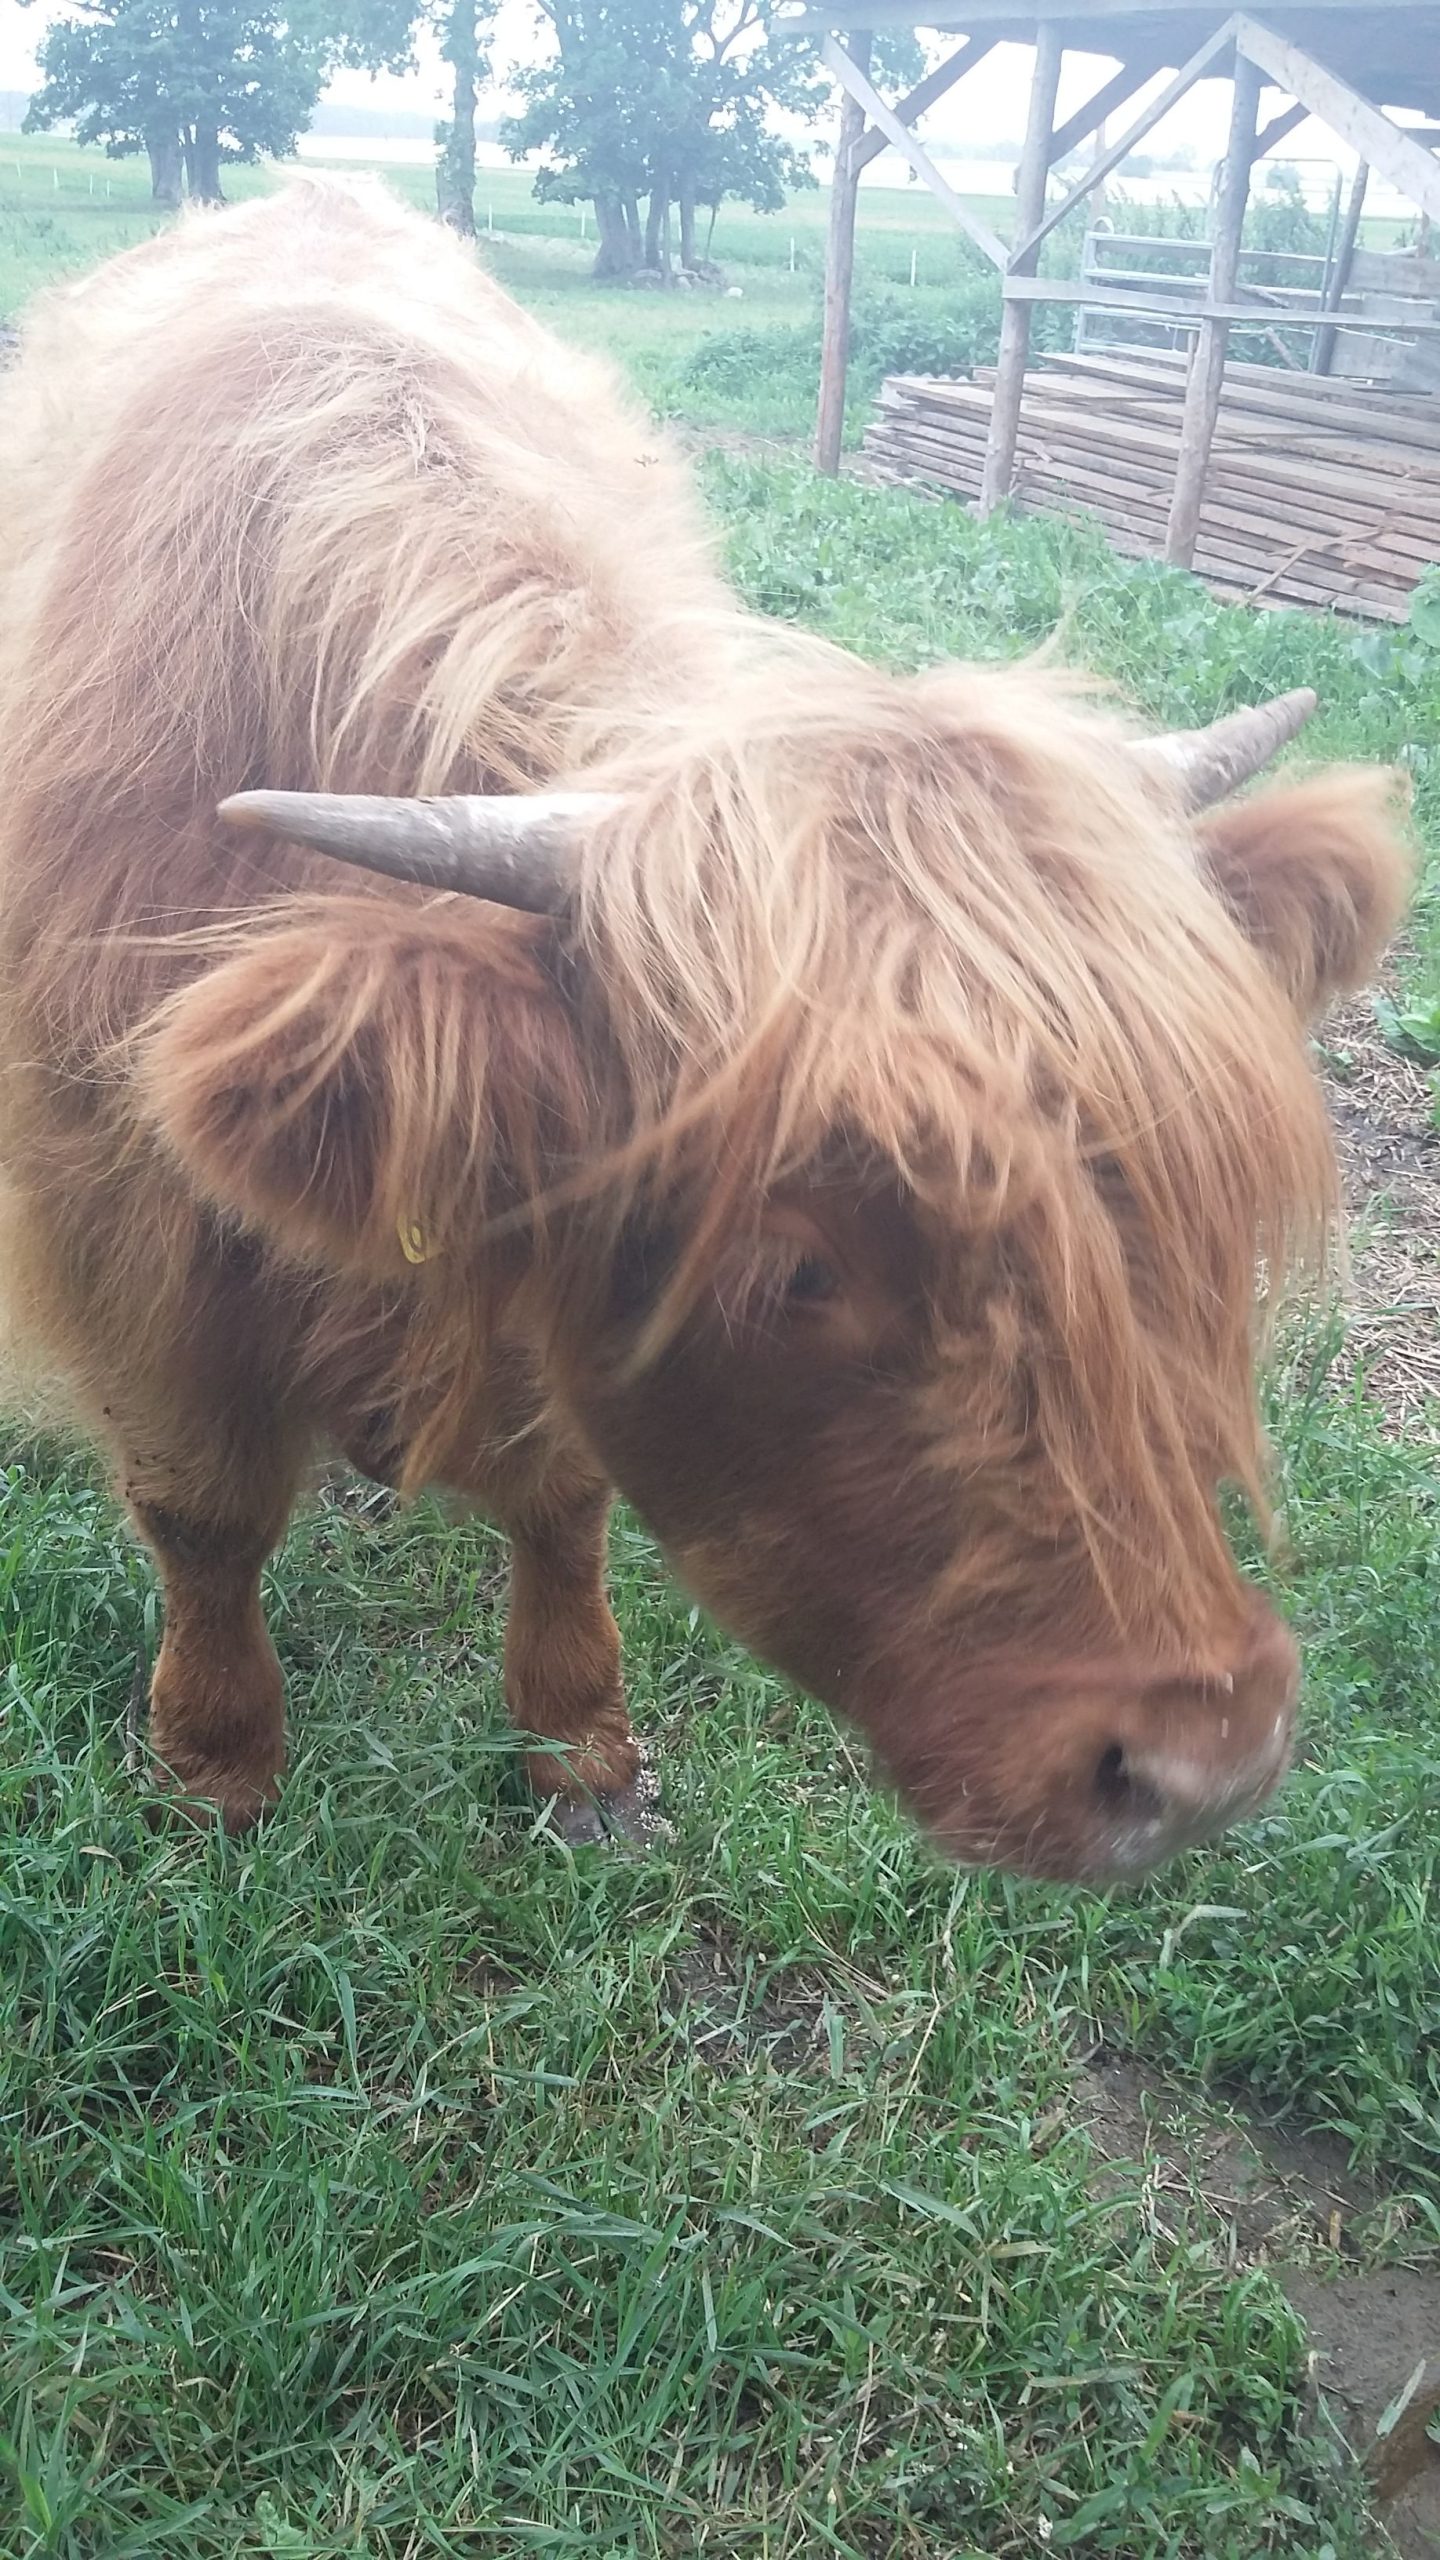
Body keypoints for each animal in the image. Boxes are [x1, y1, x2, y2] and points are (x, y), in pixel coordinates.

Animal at [0, 179, 1410, 1881]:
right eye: (794, 1264)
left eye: (1184, 1204)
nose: (1208, 1763)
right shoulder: (119, 1234)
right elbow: (203, 1513)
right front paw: (216, 1770)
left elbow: (558, 1493)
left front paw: (579, 1746)